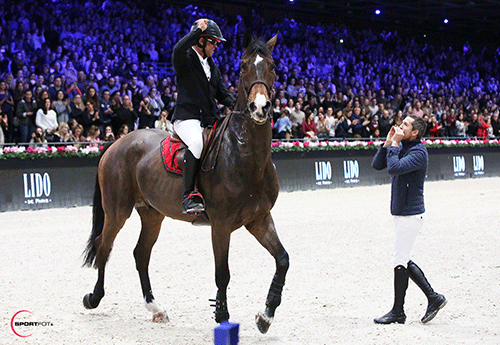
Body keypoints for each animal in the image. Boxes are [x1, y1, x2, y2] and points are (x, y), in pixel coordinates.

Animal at [82, 33, 290, 334]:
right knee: (104, 246)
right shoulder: (221, 224)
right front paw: (222, 316)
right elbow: (222, 273)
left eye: (272, 66)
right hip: (117, 211)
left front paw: (266, 316)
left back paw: (155, 308)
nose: (259, 107)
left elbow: (282, 260)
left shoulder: (259, 219)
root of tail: (117, 143)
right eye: (242, 67)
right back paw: (93, 298)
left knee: (140, 254)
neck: (244, 153)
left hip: (151, 214)